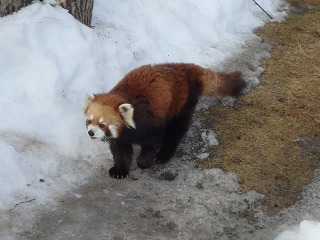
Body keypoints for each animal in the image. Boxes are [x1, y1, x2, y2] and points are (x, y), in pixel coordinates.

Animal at [82, 62, 245, 179]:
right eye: (89, 121)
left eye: (102, 124)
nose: (91, 133)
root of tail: (184, 67)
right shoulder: (121, 138)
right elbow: (121, 151)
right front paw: (119, 170)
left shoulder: (149, 123)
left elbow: (152, 143)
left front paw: (144, 162)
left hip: (180, 103)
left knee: (175, 131)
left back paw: (164, 155)